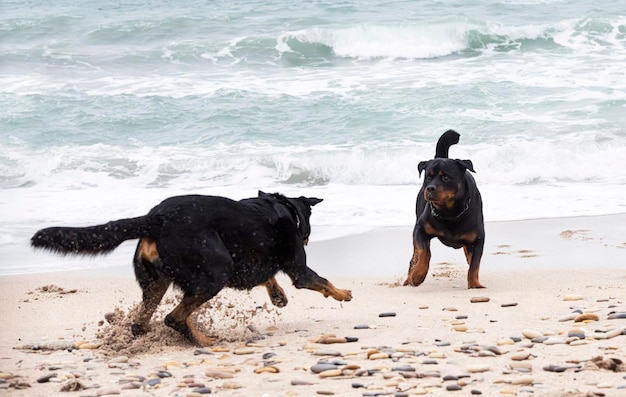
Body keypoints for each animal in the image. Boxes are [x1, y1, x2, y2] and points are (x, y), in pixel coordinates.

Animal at [31, 191, 352, 344]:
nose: (307, 236)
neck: (280, 205)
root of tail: (155, 218)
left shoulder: (250, 265)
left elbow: (267, 276)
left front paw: (278, 296)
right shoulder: (298, 268)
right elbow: (321, 280)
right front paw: (343, 293)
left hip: (156, 282)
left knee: (142, 322)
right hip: (215, 272)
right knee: (173, 317)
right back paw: (203, 340)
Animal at [402, 130, 486, 288]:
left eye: (446, 177)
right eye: (428, 177)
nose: (429, 188)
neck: (450, 212)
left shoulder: (478, 239)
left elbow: (474, 265)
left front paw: (474, 284)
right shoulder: (420, 229)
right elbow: (423, 252)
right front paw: (418, 275)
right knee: (416, 256)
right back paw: (410, 277)